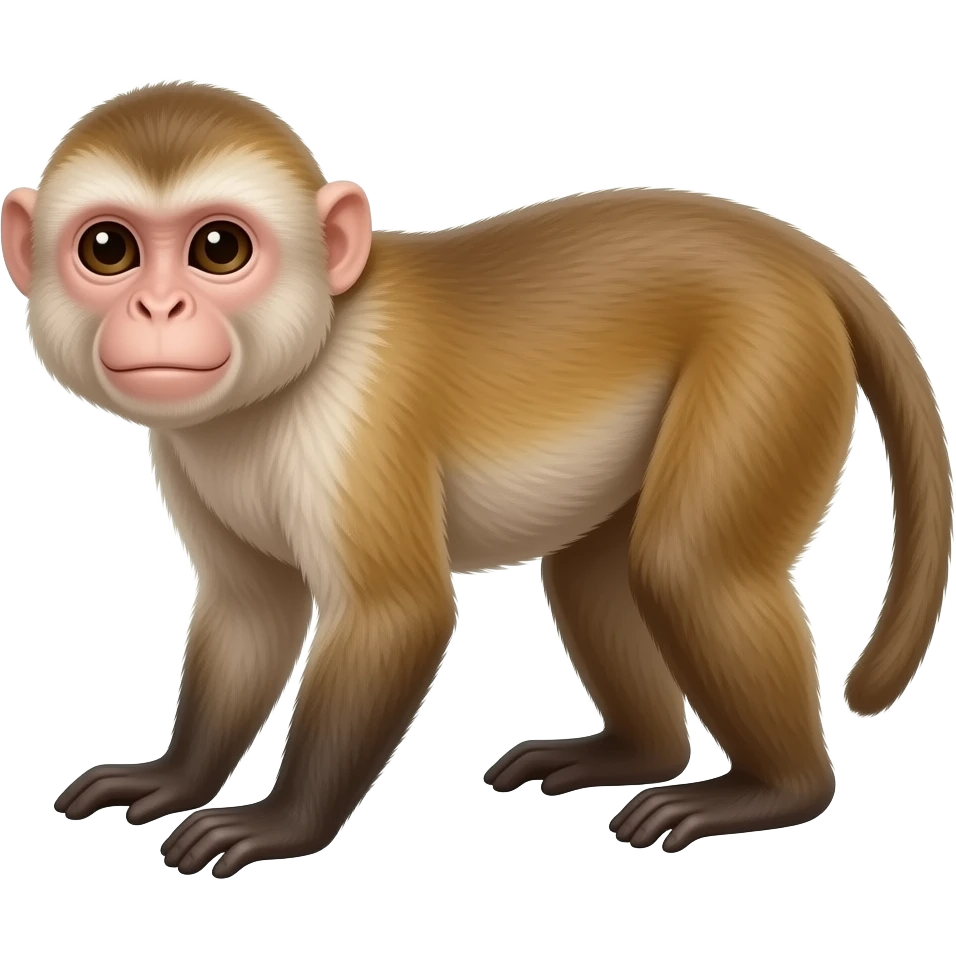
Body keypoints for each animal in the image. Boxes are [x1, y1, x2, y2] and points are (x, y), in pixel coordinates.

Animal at [4, 82, 951, 877]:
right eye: (108, 249)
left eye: (219, 248)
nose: (159, 310)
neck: (297, 366)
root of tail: (789, 249)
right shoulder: (186, 445)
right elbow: (251, 612)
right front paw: (175, 775)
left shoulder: (358, 420)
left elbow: (397, 613)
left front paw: (281, 823)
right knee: (596, 570)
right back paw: (636, 754)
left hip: (773, 353)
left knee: (686, 566)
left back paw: (775, 791)